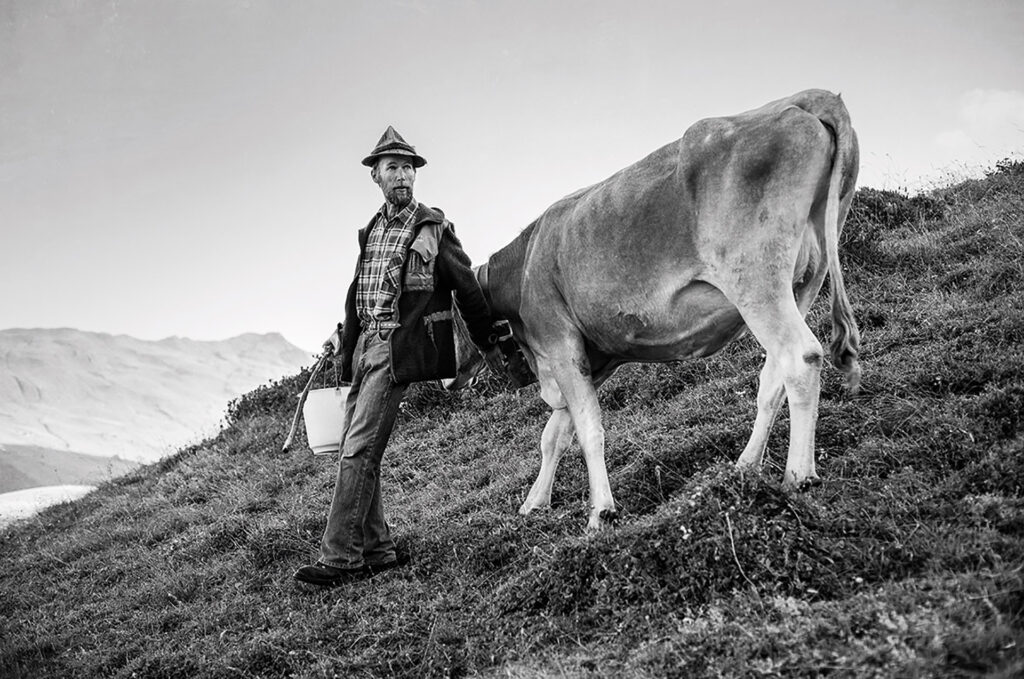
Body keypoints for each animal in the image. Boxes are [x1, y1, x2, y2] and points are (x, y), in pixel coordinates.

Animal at [452, 89, 860, 532]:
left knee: (800, 358)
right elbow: (555, 434)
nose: (449, 380)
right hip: (806, 279)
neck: (526, 260)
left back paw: (798, 476)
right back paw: (745, 468)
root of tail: (807, 98)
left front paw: (600, 512)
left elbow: (588, 428)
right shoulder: (592, 356)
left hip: (756, 278)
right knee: (773, 377)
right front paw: (533, 504)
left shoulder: (558, 341)